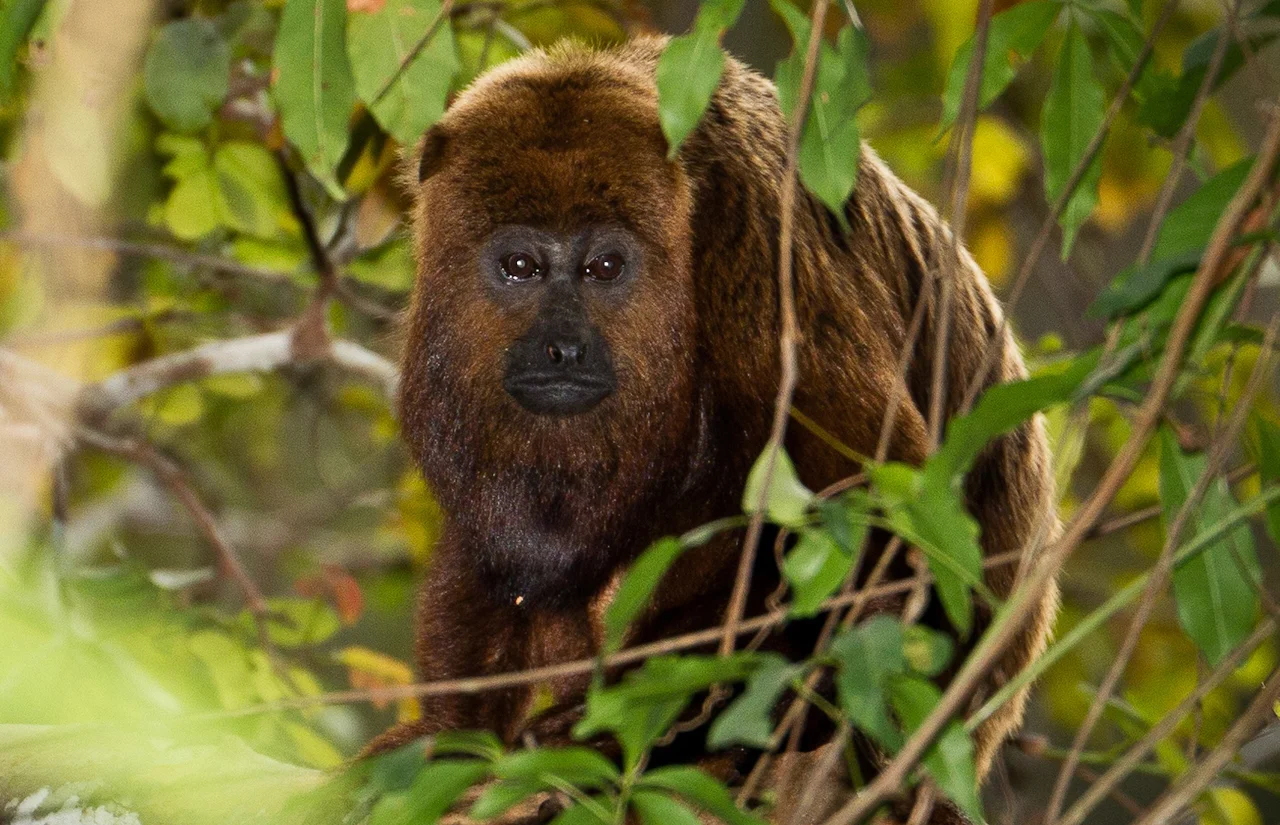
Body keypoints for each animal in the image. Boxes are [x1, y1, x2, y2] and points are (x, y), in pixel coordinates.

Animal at [371, 35, 1059, 824]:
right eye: (519, 266)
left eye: (605, 266)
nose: (562, 348)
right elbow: (503, 561)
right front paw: (451, 738)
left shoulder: (761, 256)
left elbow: (890, 537)